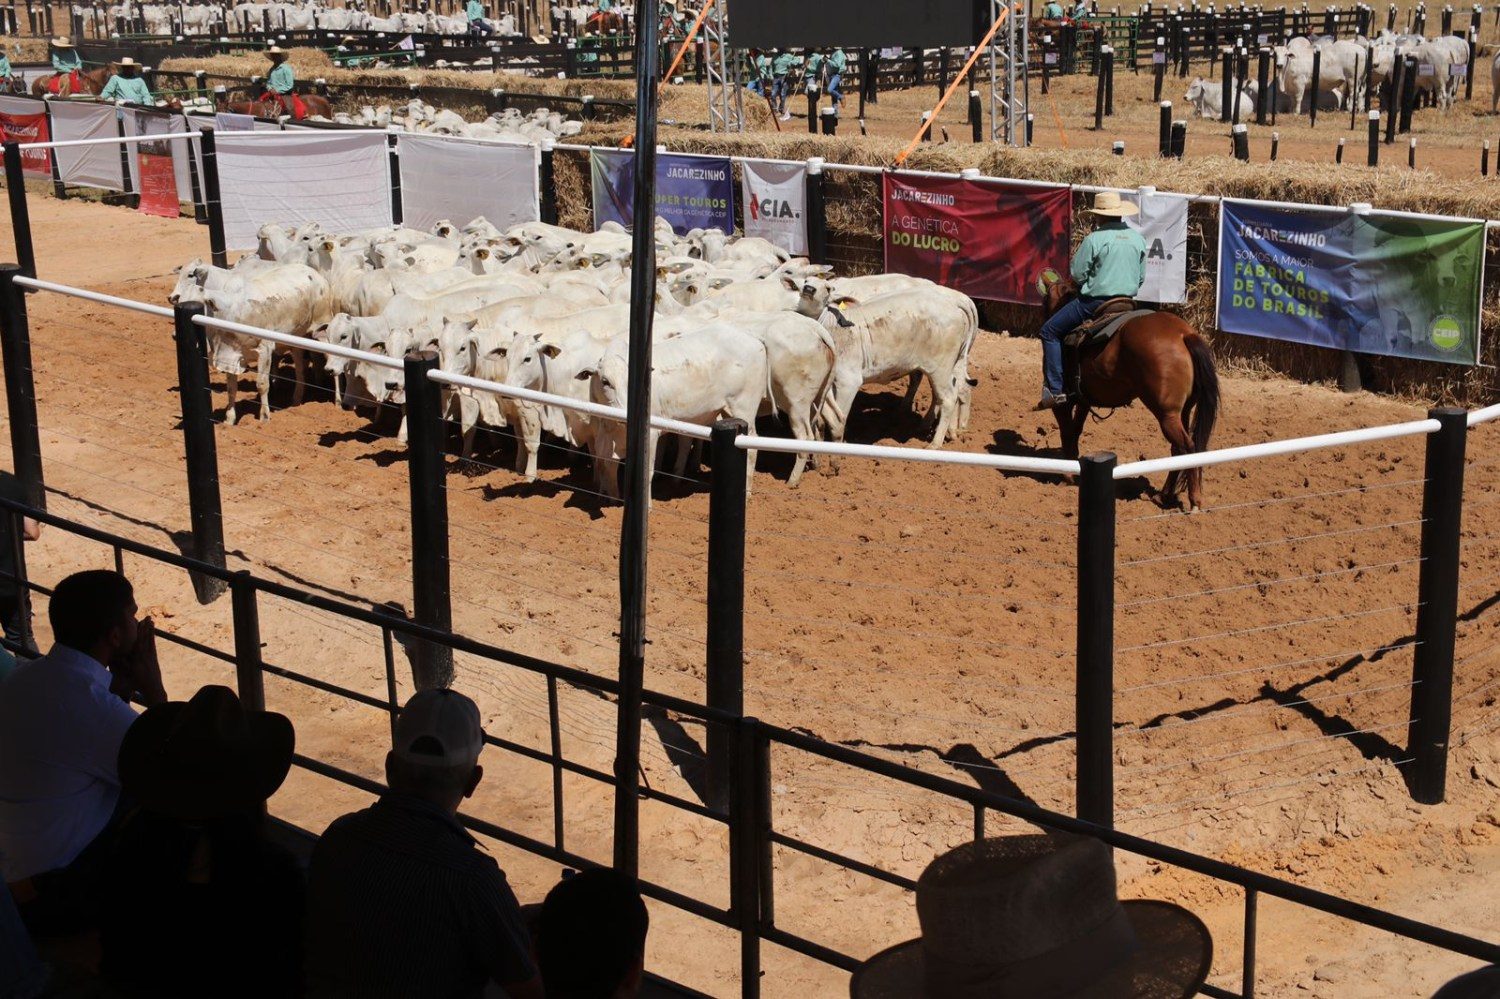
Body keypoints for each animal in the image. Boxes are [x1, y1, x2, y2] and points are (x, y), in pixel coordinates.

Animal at [1044, 270, 1218, 510]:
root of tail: (1184, 335)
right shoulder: (1084, 400)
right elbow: (1076, 430)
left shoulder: (1063, 402)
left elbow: (1067, 431)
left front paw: (1067, 476)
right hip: (1182, 411)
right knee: (1178, 449)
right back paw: (1164, 496)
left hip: (1166, 414)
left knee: (1187, 447)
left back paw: (1194, 501)